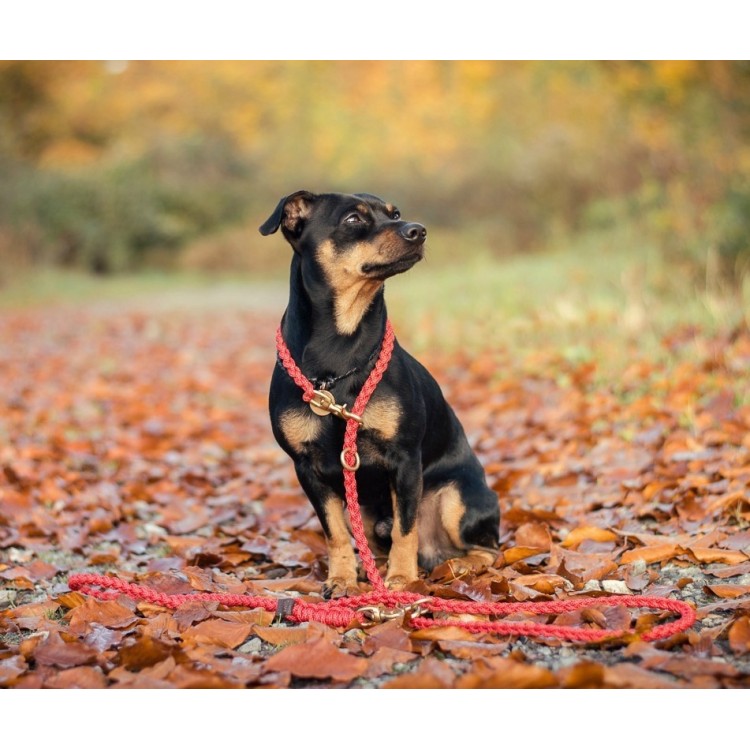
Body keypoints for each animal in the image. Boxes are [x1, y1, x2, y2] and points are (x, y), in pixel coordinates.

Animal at [258, 192, 500, 600]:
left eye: (395, 213)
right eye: (353, 219)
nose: (418, 230)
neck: (338, 352)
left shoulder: (404, 458)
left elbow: (405, 528)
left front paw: (401, 579)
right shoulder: (307, 468)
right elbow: (336, 533)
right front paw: (341, 579)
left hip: (457, 501)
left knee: (488, 549)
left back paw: (458, 565)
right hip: (368, 514)